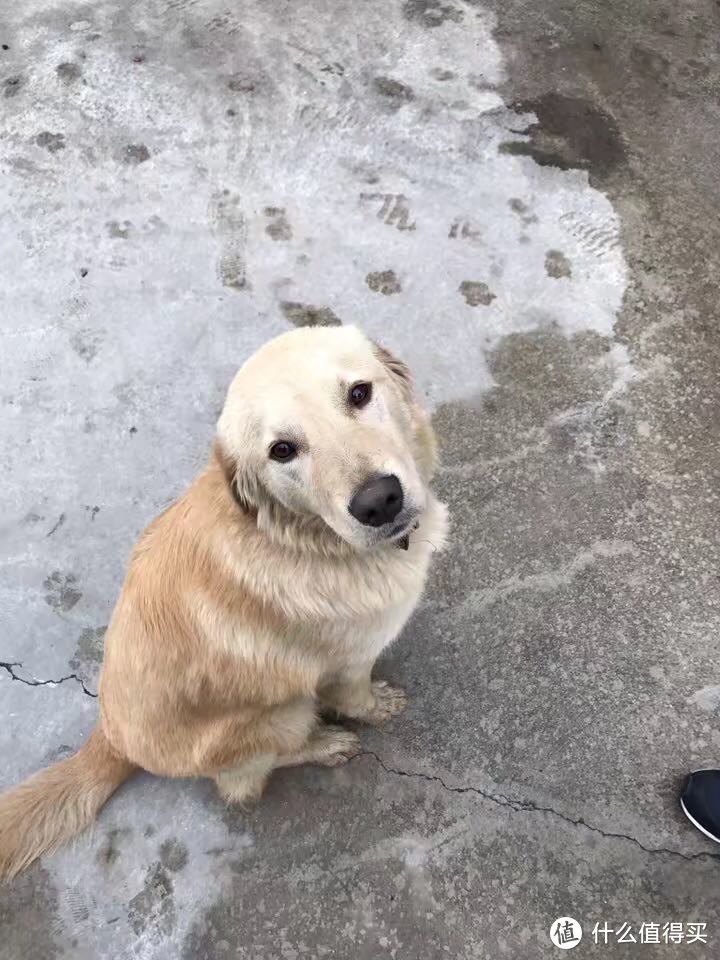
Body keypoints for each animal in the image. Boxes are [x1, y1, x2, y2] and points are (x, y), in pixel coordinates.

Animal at [0, 326, 448, 880]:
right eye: (282, 450)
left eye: (359, 393)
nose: (379, 501)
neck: (299, 537)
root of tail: (109, 737)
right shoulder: (346, 666)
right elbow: (356, 698)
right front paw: (375, 708)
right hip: (282, 713)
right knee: (245, 780)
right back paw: (325, 745)